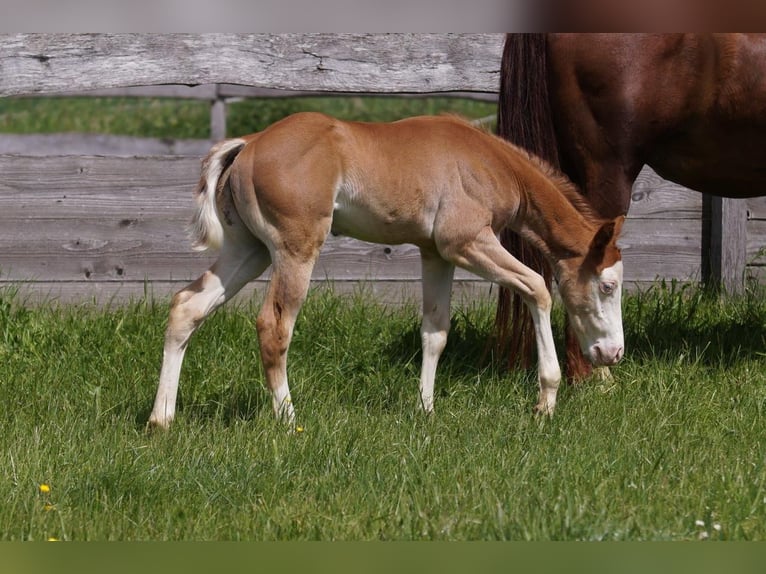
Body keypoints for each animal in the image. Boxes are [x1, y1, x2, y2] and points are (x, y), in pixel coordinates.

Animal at [148, 112, 624, 430]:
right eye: (607, 285)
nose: (613, 353)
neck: (489, 161)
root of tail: (250, 143)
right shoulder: (466, 243)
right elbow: (537, 288)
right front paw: (546, 400)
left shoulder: (436, 254)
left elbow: (435, 332)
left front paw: (425, 410)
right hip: (294, 250)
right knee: (273, 326)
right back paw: (289, 420)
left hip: (248, 251)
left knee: (186, 306)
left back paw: (161, 419)